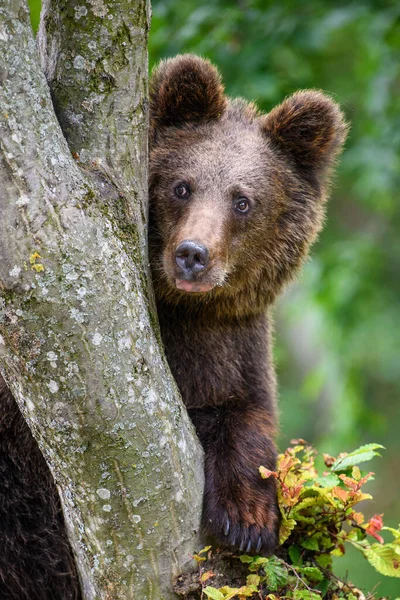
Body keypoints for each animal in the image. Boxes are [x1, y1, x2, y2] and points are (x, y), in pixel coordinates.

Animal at [149, 55, 346, 552]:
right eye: (182, 186)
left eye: (242, 201)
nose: (193, 254)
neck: (184, 308)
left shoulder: (233, 341)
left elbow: (246, 413)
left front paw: (248, 519)